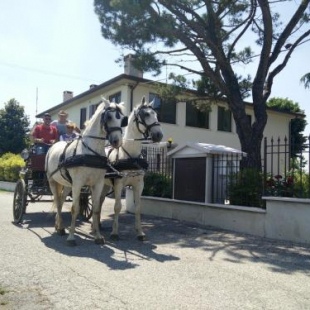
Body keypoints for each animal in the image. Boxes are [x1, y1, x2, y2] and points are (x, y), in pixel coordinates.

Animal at [44, 98, 127, 246]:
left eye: (122, 119)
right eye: (109, 117)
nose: (117, 141)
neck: (90, 151)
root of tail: (53, 146)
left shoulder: (97, 184)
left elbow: (96, 208)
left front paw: (98, 236)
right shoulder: (78, 184)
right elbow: (74, 208)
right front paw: (71, 238)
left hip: (67, 184)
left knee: (61, 199)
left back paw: (59, 226)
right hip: (52, 181)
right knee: (58, 202)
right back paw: (61, 228)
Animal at [101, 97, 165, 240]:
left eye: (156, 114)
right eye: (146, 114)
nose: (159, 135)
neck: (131, 157)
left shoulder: (139, 185)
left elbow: (138, 208)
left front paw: (140, 232)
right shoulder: (118, 184)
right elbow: (117, 207)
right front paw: (114, 232)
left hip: (105, 185)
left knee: (99, 201)